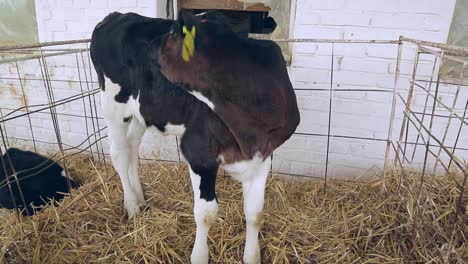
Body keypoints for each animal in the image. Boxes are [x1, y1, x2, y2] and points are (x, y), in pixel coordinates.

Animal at [89, 10, 298, 264]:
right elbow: (206, 214)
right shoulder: (198, 153)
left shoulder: (263, 156)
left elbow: (255, 212)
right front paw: (199, 255)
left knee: (132, 149)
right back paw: (132, 207)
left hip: (141, 112)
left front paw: (252, 256)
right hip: (113, 104)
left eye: (171, 32)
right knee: (119, 154)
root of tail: (116, 15)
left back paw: (140, 198)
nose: (147, 47)